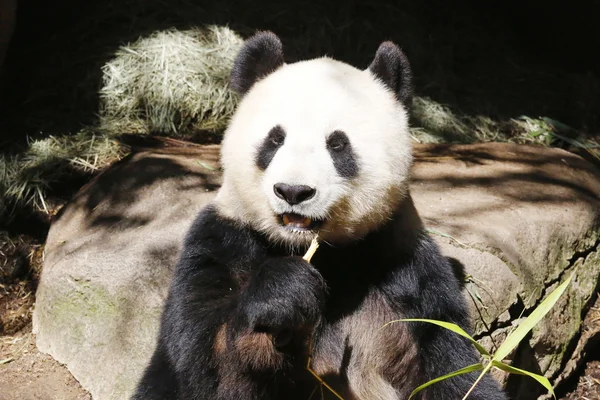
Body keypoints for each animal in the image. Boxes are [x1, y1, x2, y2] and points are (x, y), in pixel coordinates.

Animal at [132, 31, 506, 400]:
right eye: (275, 139)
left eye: (337, 144)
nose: (293, 191)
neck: (318, 254)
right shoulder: (223, 241)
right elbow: (208, 368)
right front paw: (283, 299)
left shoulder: (403, 266)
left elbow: (452, 369)